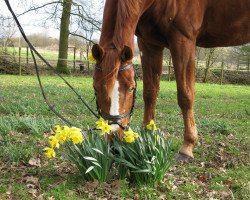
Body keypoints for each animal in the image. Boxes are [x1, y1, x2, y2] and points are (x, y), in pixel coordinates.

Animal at [92, 0, 250, 160]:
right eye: (95, 87)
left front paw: (187, 146)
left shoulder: (183, 41)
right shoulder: (149, 44)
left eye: (131, 88)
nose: (113, 137)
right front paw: (148, 135)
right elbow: (150, 93)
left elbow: (185, 96)